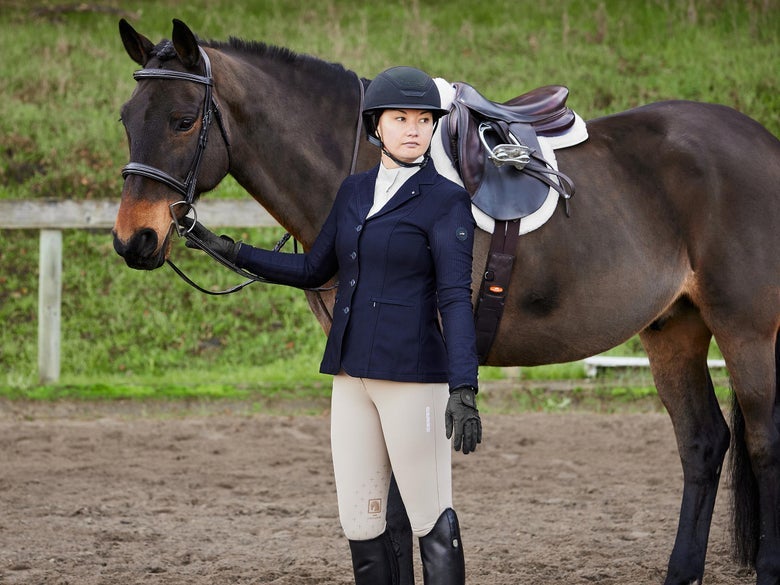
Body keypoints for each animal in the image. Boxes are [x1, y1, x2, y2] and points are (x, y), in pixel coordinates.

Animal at [113, 18, 780, 585]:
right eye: (126, 119)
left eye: (181, 120)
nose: (134, 239)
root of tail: (760, 141)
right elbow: (386, 510)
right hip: (674, 329)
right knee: (703, 443)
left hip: (747, 332)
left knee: (763, 444)